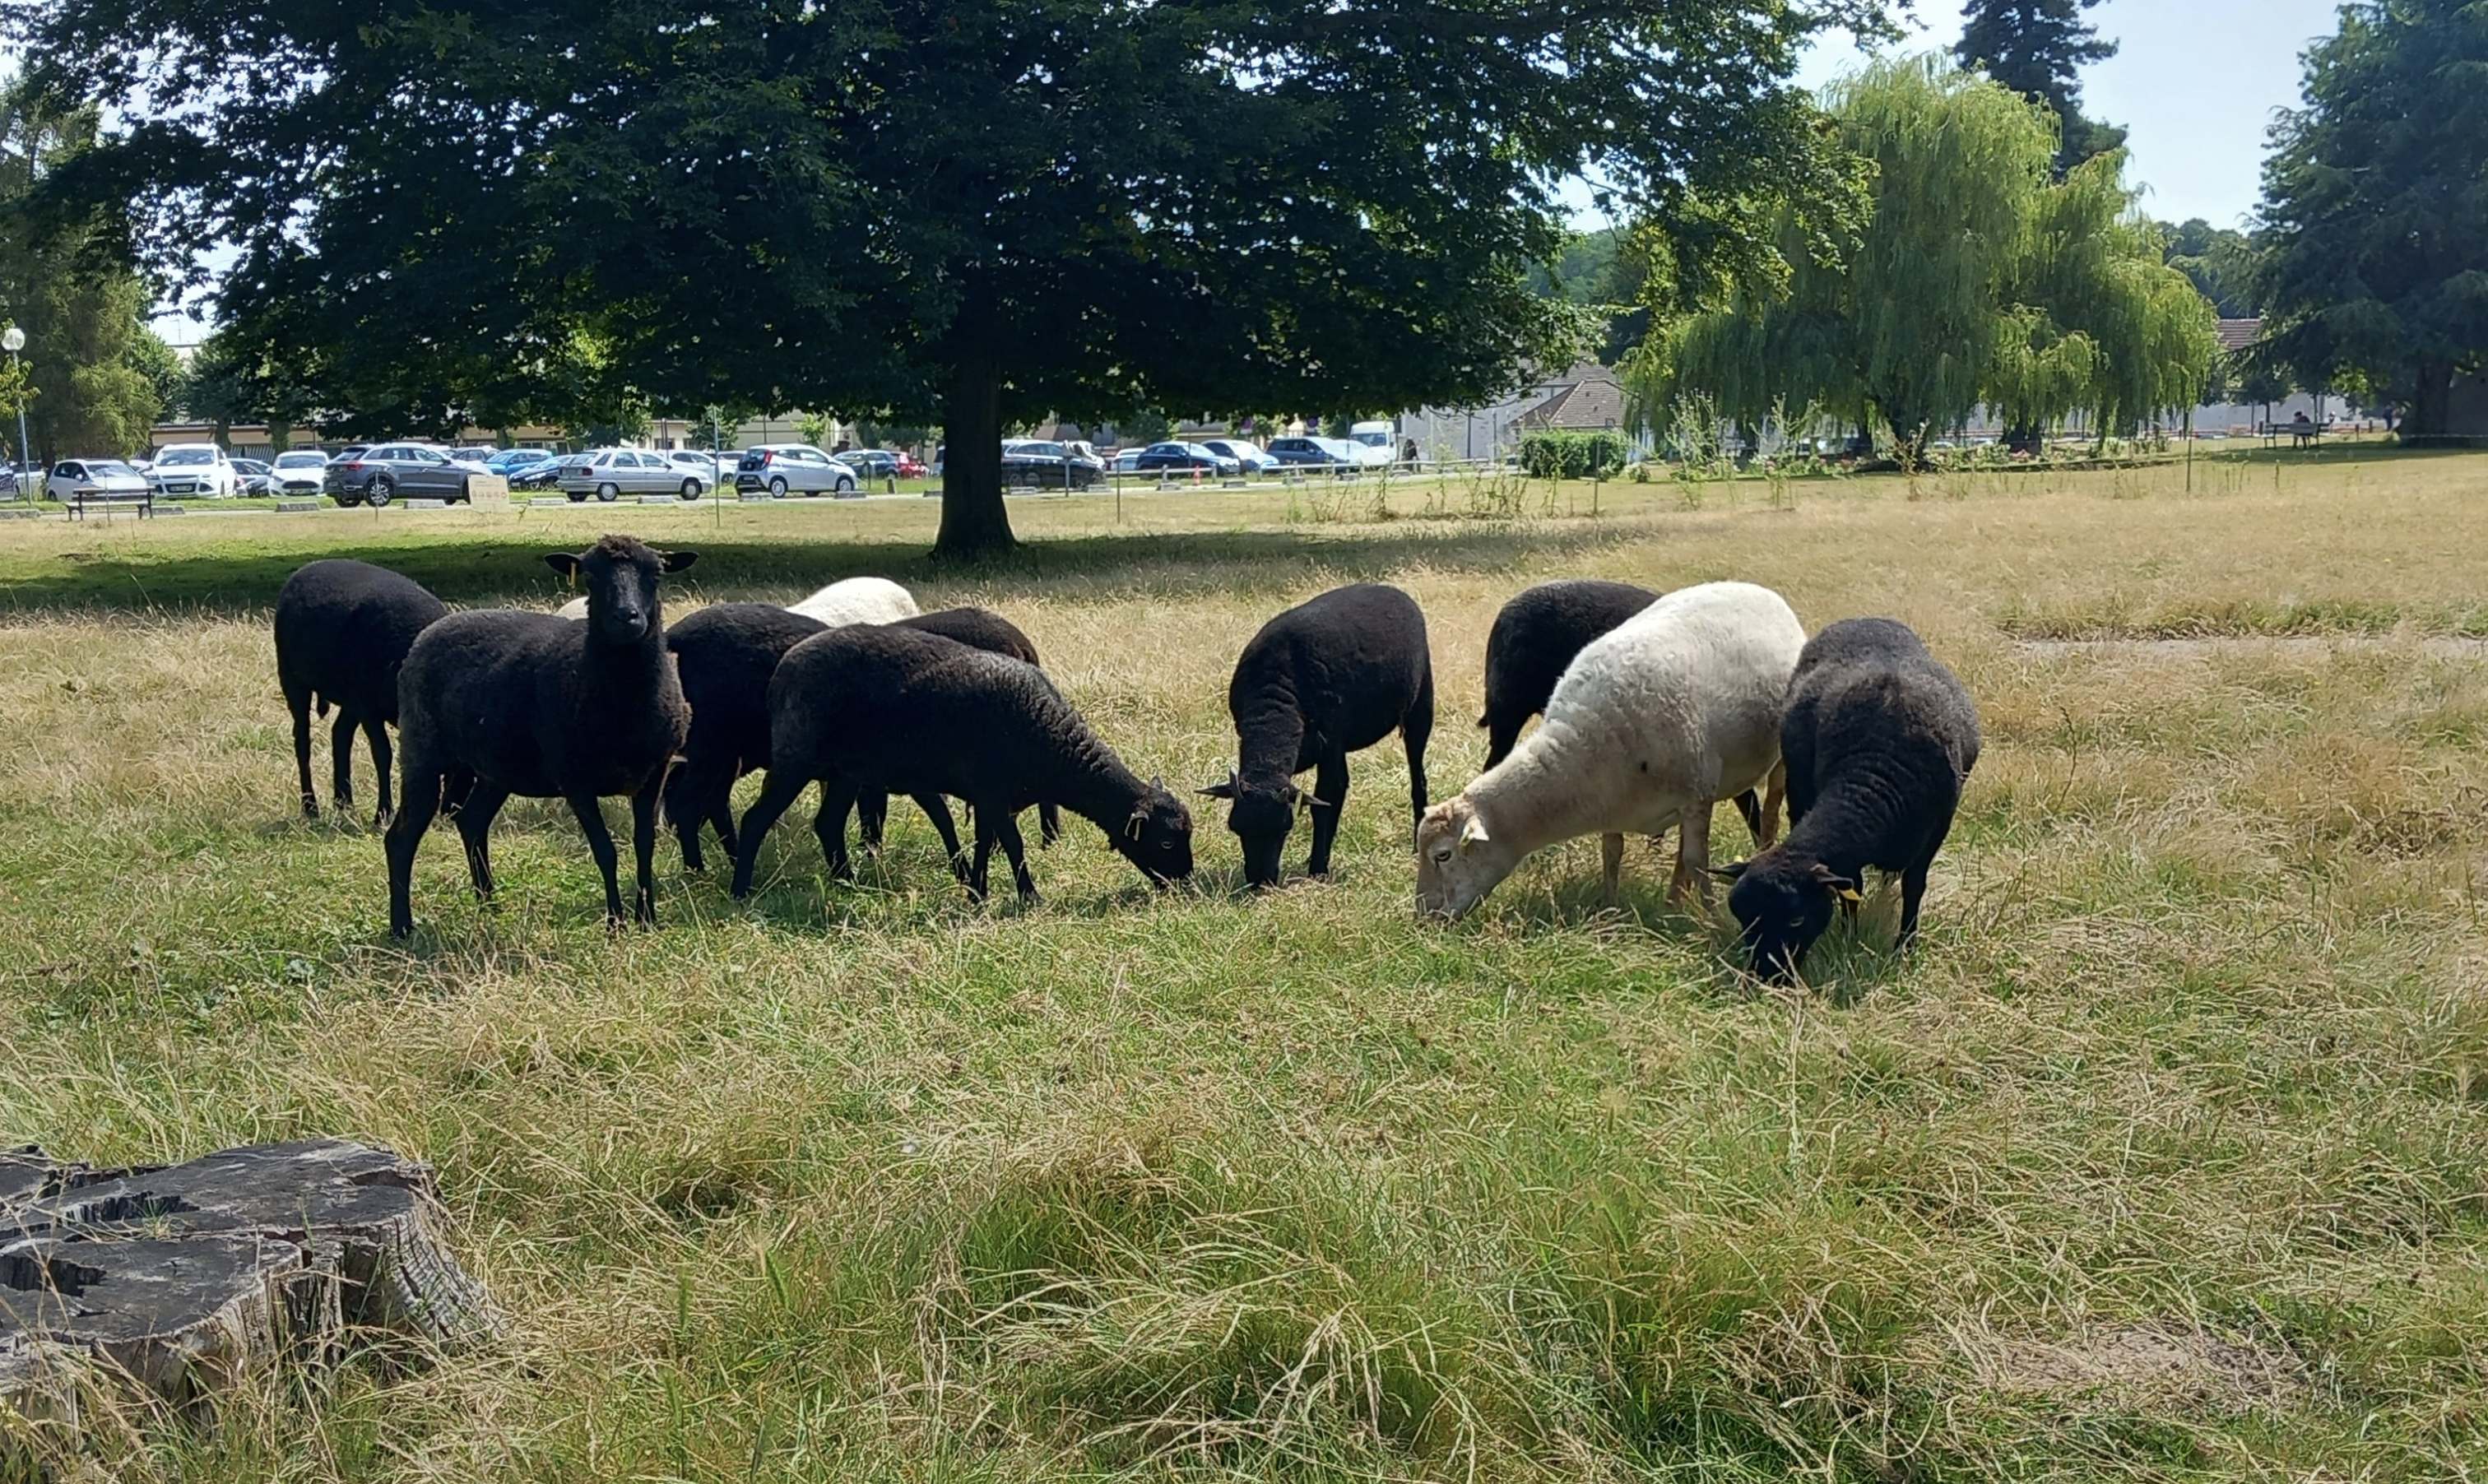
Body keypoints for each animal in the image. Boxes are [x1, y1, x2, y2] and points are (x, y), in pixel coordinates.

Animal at [273, 559, 447, 824]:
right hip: (293, 680)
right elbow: (383, 754)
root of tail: (306, 568)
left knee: (339, 734)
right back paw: (311, 806)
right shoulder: (369, 709)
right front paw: (383, 813)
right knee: (302, 740)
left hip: (350, 699)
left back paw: (343, 801)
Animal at [386, 534, 698, 937]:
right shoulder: (575, 780)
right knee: (401, 837)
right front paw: (615, 923)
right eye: (590, 577)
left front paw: (646, 919)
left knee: (471, 821)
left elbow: (645, 845)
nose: (626, 618)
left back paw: (490, 904)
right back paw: (401, 926)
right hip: (422, 750)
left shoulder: (654, 773)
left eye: (656, 575)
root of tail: (432, 630)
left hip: (496, 768)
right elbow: (605, 852)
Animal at [730, 624, 1191, 904]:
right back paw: (740, 890)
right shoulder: (991, 792)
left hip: (846, 772)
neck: (1048, 742)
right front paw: (1029, 897)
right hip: (796, 760)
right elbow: (1013, 845)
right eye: (1167, 843)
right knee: (755, 819)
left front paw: (978, 892)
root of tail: (784, 667)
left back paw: (848, 881)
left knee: (827, 824)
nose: (1185, 884)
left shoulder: (991, 799)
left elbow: (985, 842)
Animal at [1198, 584, 1433, 889]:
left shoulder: (1332, 744)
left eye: (1285, 828)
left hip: (1421, 708)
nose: (1261, 882)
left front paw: (1318, 870)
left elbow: (1327, 801)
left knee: (1418, 778)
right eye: (1235, 827)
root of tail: (1394, 590)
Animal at [1718, 618, 1980, 982]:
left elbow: (1914, 887)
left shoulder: (1936, 832)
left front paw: (1905, 947)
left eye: (1796, 919)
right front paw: (1849, 936)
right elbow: (1852, 887)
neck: (1874, 780)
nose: (1768, 978)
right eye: (1743, 919)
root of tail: (1867, 619)